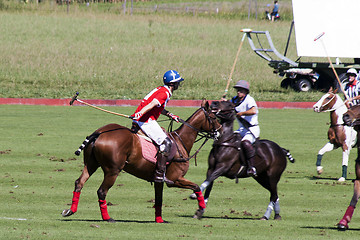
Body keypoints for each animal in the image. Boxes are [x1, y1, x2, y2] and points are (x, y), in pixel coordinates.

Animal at [61, 100, 222, 223]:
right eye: (214, 117)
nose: (220, 132)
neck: (180, 141)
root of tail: (98, 133)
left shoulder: (159, 180)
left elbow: (159, 199)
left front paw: (159, 220)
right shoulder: (175, 179)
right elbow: (196, 187)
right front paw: (200, 210)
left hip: (91, 164)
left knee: (79, 182)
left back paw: (70, 210)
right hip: (113, 170)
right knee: (101, 191)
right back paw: (107, 218)